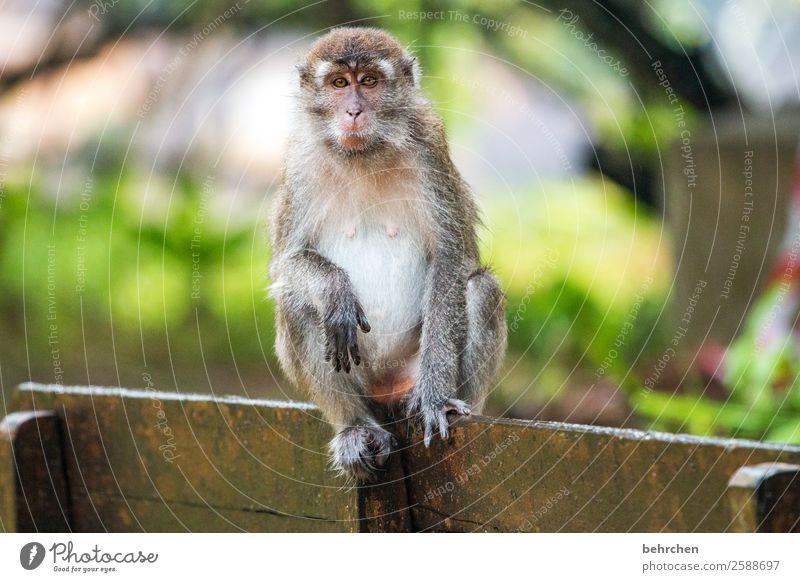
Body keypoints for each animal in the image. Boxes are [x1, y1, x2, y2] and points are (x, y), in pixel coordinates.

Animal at [268, 27, 506, 484]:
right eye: (338, 83)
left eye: (370, 82)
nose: (354, 111)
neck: (363, 155)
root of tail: (387, 392)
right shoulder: (298, 160)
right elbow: (287, 263)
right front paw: (335, 289)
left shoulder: (429, 147)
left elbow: (451, 259)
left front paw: (435, 400)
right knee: (297, 303)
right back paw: (356, 428)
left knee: (481, 289)